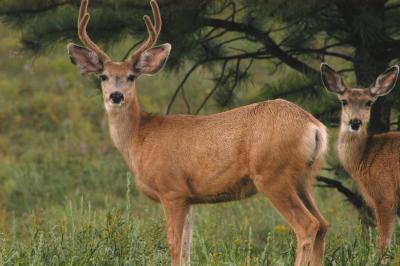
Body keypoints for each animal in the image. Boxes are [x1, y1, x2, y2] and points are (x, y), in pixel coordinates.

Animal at [66, 1, 328, 264]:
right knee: (323, 224)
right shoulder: (189, 197)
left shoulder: (172, 190)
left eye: (131, 76)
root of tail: (314, 126)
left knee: (308, 225)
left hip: (273, 175)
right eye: (103, 76)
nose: (116, 96)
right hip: (303, 177)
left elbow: (174, 245)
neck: (140, 137)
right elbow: (187, 247)